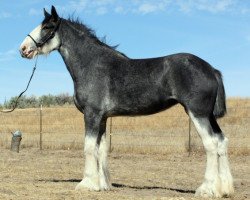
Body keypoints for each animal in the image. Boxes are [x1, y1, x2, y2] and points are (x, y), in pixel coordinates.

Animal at [20, 5, 234, 198]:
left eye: (47, 27)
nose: (23, 49)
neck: (92, 65)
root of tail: (211, 69)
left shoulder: (92, 114)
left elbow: (89, 147)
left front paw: (86, 183)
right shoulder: (103, 118)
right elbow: (101, 149)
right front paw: (103, 185)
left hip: (197, 113)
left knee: (210, 144)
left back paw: (206, 189)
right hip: (208, 116)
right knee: (221, 141)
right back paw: (225, 189)